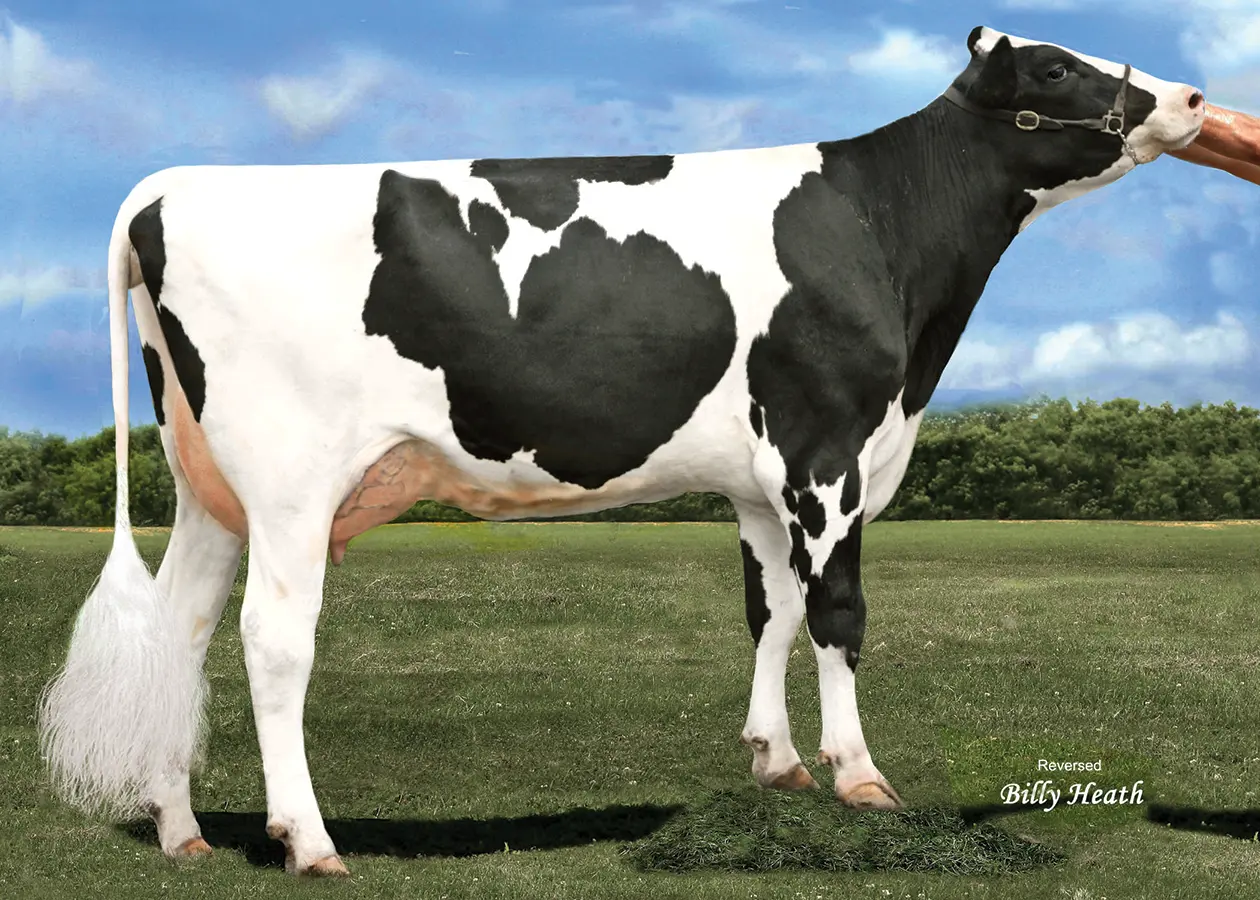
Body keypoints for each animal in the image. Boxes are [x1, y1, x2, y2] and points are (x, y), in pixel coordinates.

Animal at [37, 26, 1204, 876]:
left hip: (209, 485)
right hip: (288, 478)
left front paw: (776, 763)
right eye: (1053, 66)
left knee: (180, 632)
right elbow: (839, 616)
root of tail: (172, 184)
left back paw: (182, 830)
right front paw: (860, 778)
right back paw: (308, 841)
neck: (884, 236)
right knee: (273, 642)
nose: (1191, 98)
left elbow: (771, 611)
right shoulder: (828, 451)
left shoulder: (761, 480)